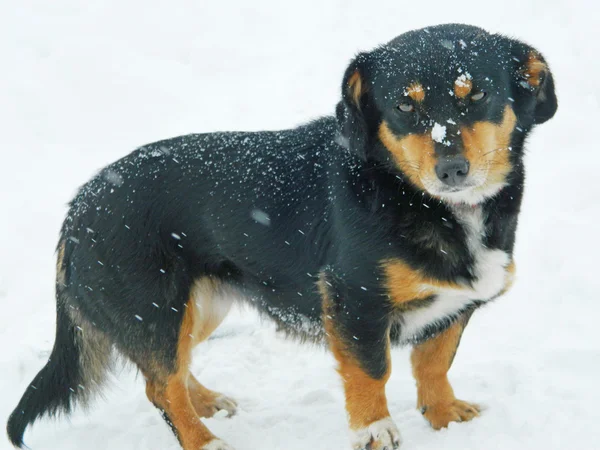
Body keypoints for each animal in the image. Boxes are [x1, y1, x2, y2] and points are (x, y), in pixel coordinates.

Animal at [5, 24, 556, 450]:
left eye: (477, 94)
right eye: (404, 105)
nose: (452, 170)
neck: (415, 198)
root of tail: (79, 207)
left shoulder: (453, 308)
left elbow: (435, 365)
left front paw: (444, 418)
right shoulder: (356, 303)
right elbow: (372, 374)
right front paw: (375, 432)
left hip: (196, 308)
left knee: (168, 374)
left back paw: (206, 403)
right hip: (156, 309)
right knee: (161, 386)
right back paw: (202, 439)